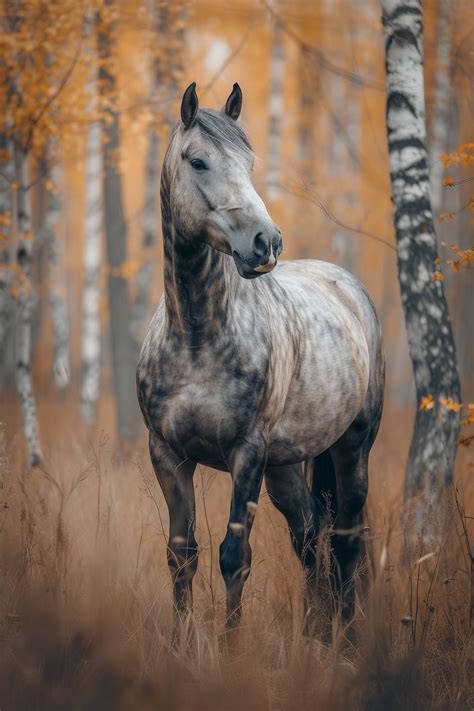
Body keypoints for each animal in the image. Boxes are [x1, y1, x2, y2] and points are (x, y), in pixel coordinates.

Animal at [137, 82, 385, 634]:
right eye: (198, 161)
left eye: (249, 162)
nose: (265, 242)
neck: (197, 338)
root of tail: (348, 286)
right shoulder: (168, 455)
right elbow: (181, 555)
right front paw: (181, 644)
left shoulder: (246, 455)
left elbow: (235, 557)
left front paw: (231, 646)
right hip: (287, 468)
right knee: (310, 538)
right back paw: (316, 633)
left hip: (352, 449)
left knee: (345, 543)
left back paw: (345, 638)